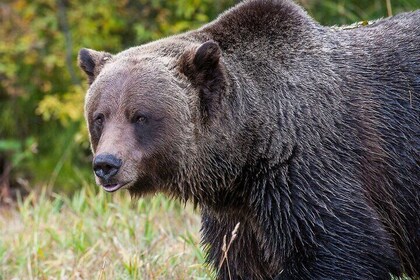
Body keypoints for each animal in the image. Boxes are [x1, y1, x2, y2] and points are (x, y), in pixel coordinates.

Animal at [77, 0, 418, 278]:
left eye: (140, 116)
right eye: (100, 116)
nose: (106, 164)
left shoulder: (307, 169)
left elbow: (340, 248)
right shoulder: (238, 217)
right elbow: (239, 261)